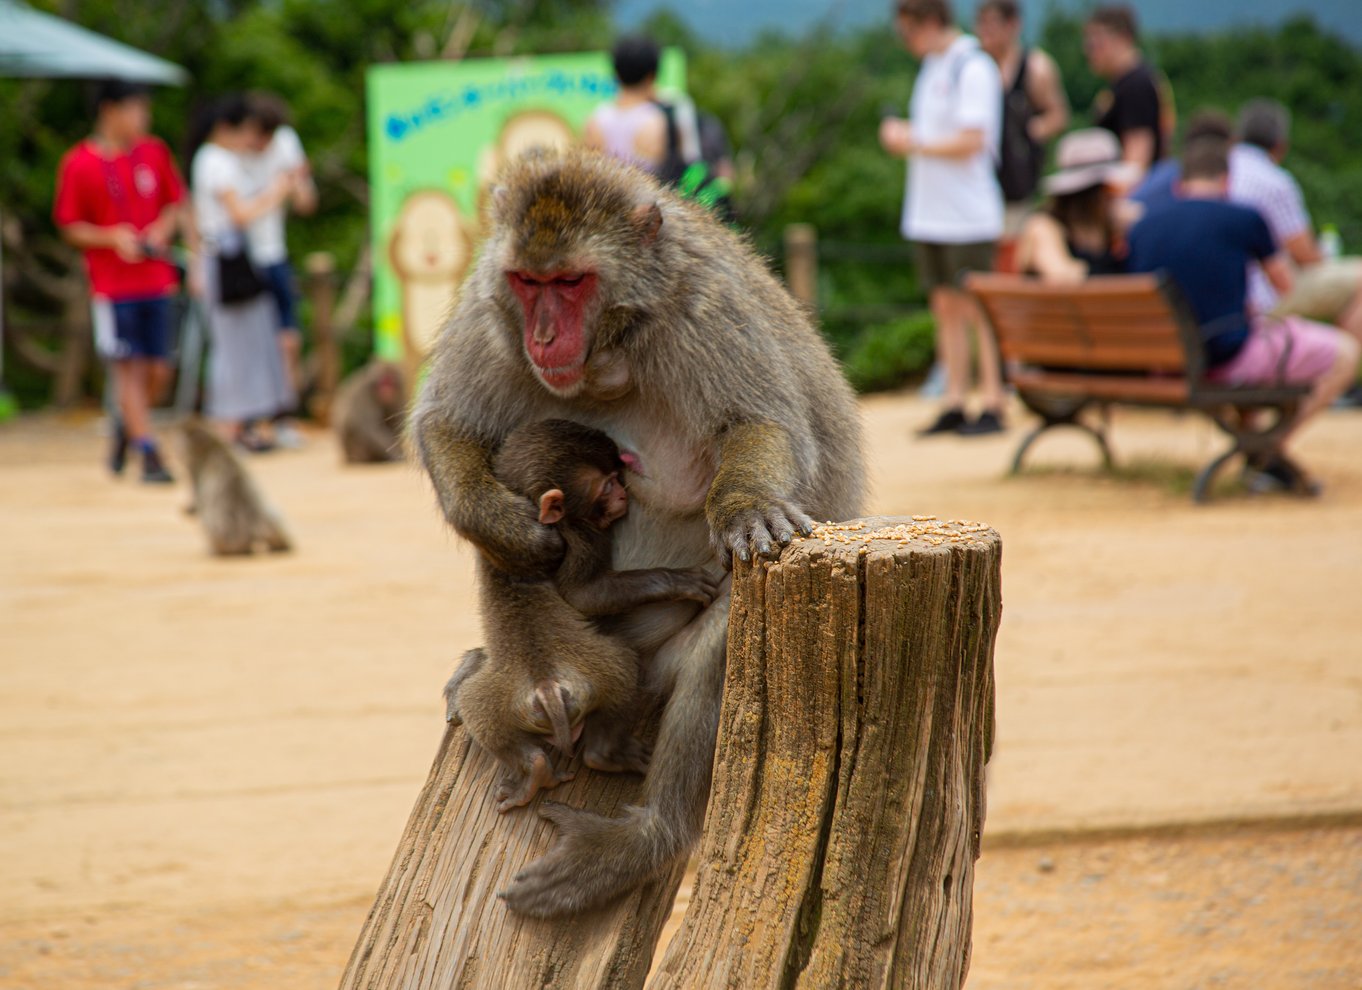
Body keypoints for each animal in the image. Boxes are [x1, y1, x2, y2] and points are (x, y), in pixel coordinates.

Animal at [446, 419, 724, 811]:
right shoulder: (581, 534)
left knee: (477, 708)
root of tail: (546, 686)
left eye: (616, 478)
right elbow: (583, 595)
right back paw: (605, 754)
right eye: (607, 484)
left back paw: (533, 769)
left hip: (502, 703)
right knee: (625, 665)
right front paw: (678, 581)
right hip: (601, 671)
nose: (623, 494)